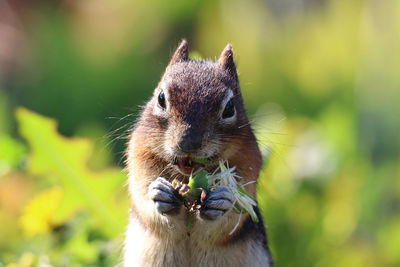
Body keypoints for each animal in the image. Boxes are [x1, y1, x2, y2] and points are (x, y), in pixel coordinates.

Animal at [125, 40, 274, 267]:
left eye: (229, 108)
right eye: (161, 98)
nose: (188, 142)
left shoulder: (248, 164)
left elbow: (230, 221)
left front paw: (223, 201)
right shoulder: (139, 156)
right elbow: (144, 198)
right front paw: (159, 192)